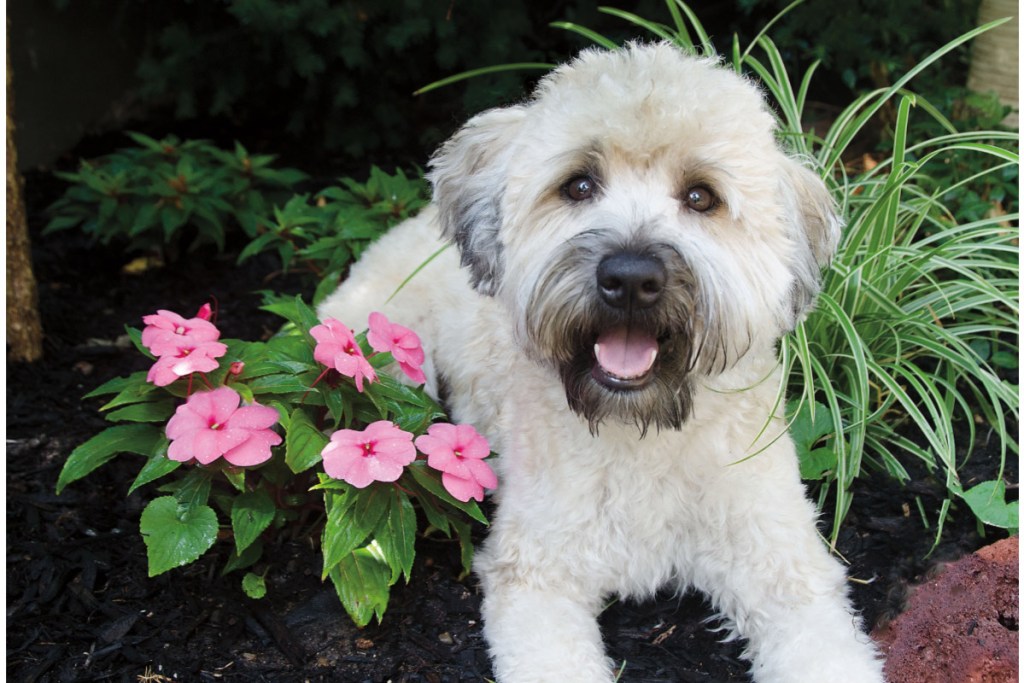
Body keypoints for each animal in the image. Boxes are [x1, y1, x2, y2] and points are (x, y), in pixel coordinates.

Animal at [321, 42, 888, 683]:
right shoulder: (539, 572)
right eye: (579, 184)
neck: (642, 429)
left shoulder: (781, 560)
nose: (631, 278)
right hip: (385, 353)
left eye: (701, 196)